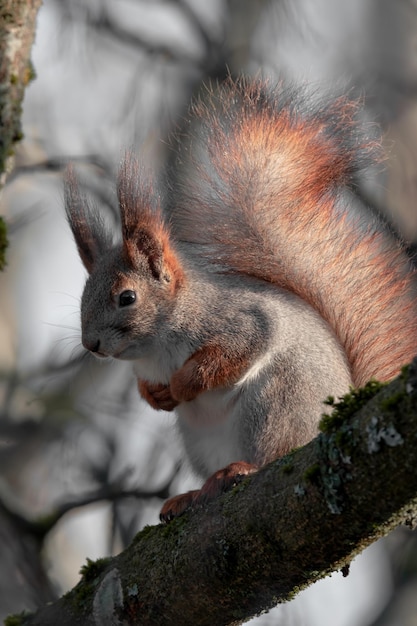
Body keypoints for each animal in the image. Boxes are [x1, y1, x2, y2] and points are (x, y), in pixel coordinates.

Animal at [63, 75, 416, 520]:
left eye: (127, 297)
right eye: (82, 296)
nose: (90, 344)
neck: (157, 346)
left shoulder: (241, 321)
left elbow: (231, 354)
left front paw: (181, 385)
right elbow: (148, 386)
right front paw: (156, 395)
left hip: (275, 405)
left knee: (272, 454)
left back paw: (241, 468)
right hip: (201, 440)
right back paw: (190, 494)